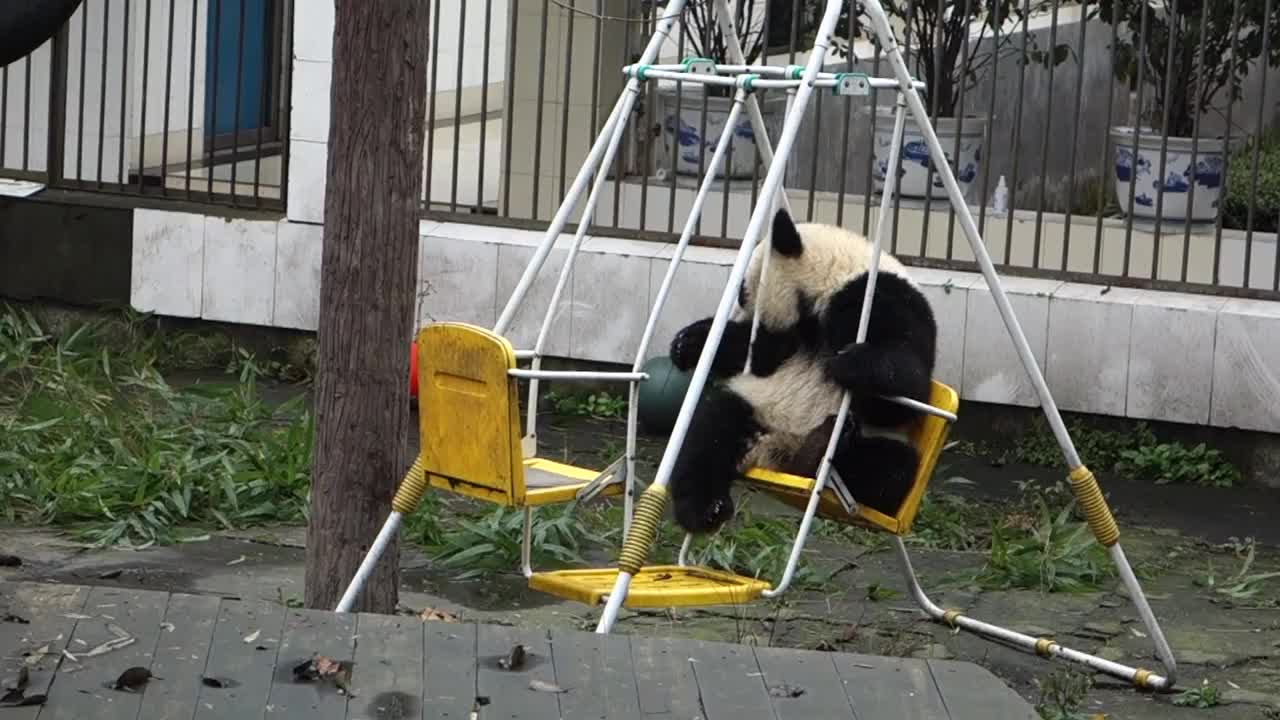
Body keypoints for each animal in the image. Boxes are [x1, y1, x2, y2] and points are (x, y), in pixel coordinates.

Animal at [665, 207, 936, 532]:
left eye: (742, 289)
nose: (741, 305)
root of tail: (778, 450)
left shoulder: (884, 299)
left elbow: (907, 393)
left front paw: (849, 364)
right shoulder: (783, 336)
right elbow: (754, 353)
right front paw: (688, 343)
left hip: (876, 442)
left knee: (889, 467)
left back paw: (817, 450)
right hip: (755, 407)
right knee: (710, 431)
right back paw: (707, 508)